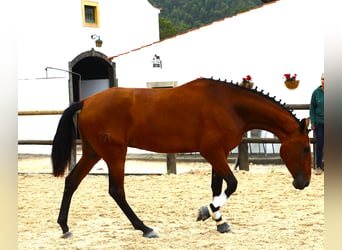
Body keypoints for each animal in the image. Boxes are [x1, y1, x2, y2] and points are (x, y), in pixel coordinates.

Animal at [52, 77, 312, 237]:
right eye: (305, 148)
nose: (303, 183)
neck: (229, 105)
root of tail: (86, 101)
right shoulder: (212, 152)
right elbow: (232, 184)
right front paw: (209, 210)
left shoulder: (219, 153)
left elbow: (217, 186)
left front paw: (217, 219)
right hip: (115, 153)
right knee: (116, 191)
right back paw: (145, 228)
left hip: (93, 152)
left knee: (71, 182)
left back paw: (64, 226)